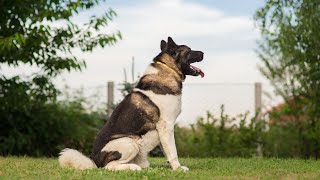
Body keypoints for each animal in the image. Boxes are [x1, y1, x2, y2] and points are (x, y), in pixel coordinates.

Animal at [59, 37, 205, 172]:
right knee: (109, 166)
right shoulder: (166, 126)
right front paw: (177, 169)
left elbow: (166, 151)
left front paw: (173, 168)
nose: (203, 53)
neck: (167, 68)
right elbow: (173, 151)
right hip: (130, 142)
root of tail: (94, 161)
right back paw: (133, 167)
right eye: (189, 50)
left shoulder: (164, 131)